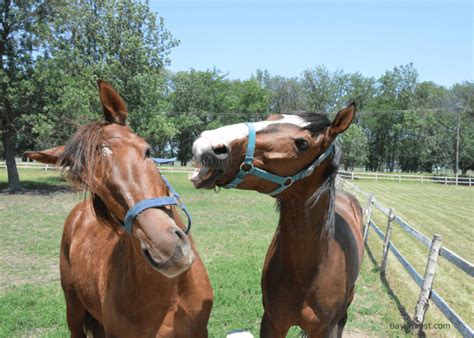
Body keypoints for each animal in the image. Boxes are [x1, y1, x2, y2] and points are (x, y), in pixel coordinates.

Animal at [191, 104, 364, 336]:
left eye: (302, 143)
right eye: (271, 117)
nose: (207, 142)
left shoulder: (324, 330)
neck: (307, 272)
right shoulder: (273, 322)